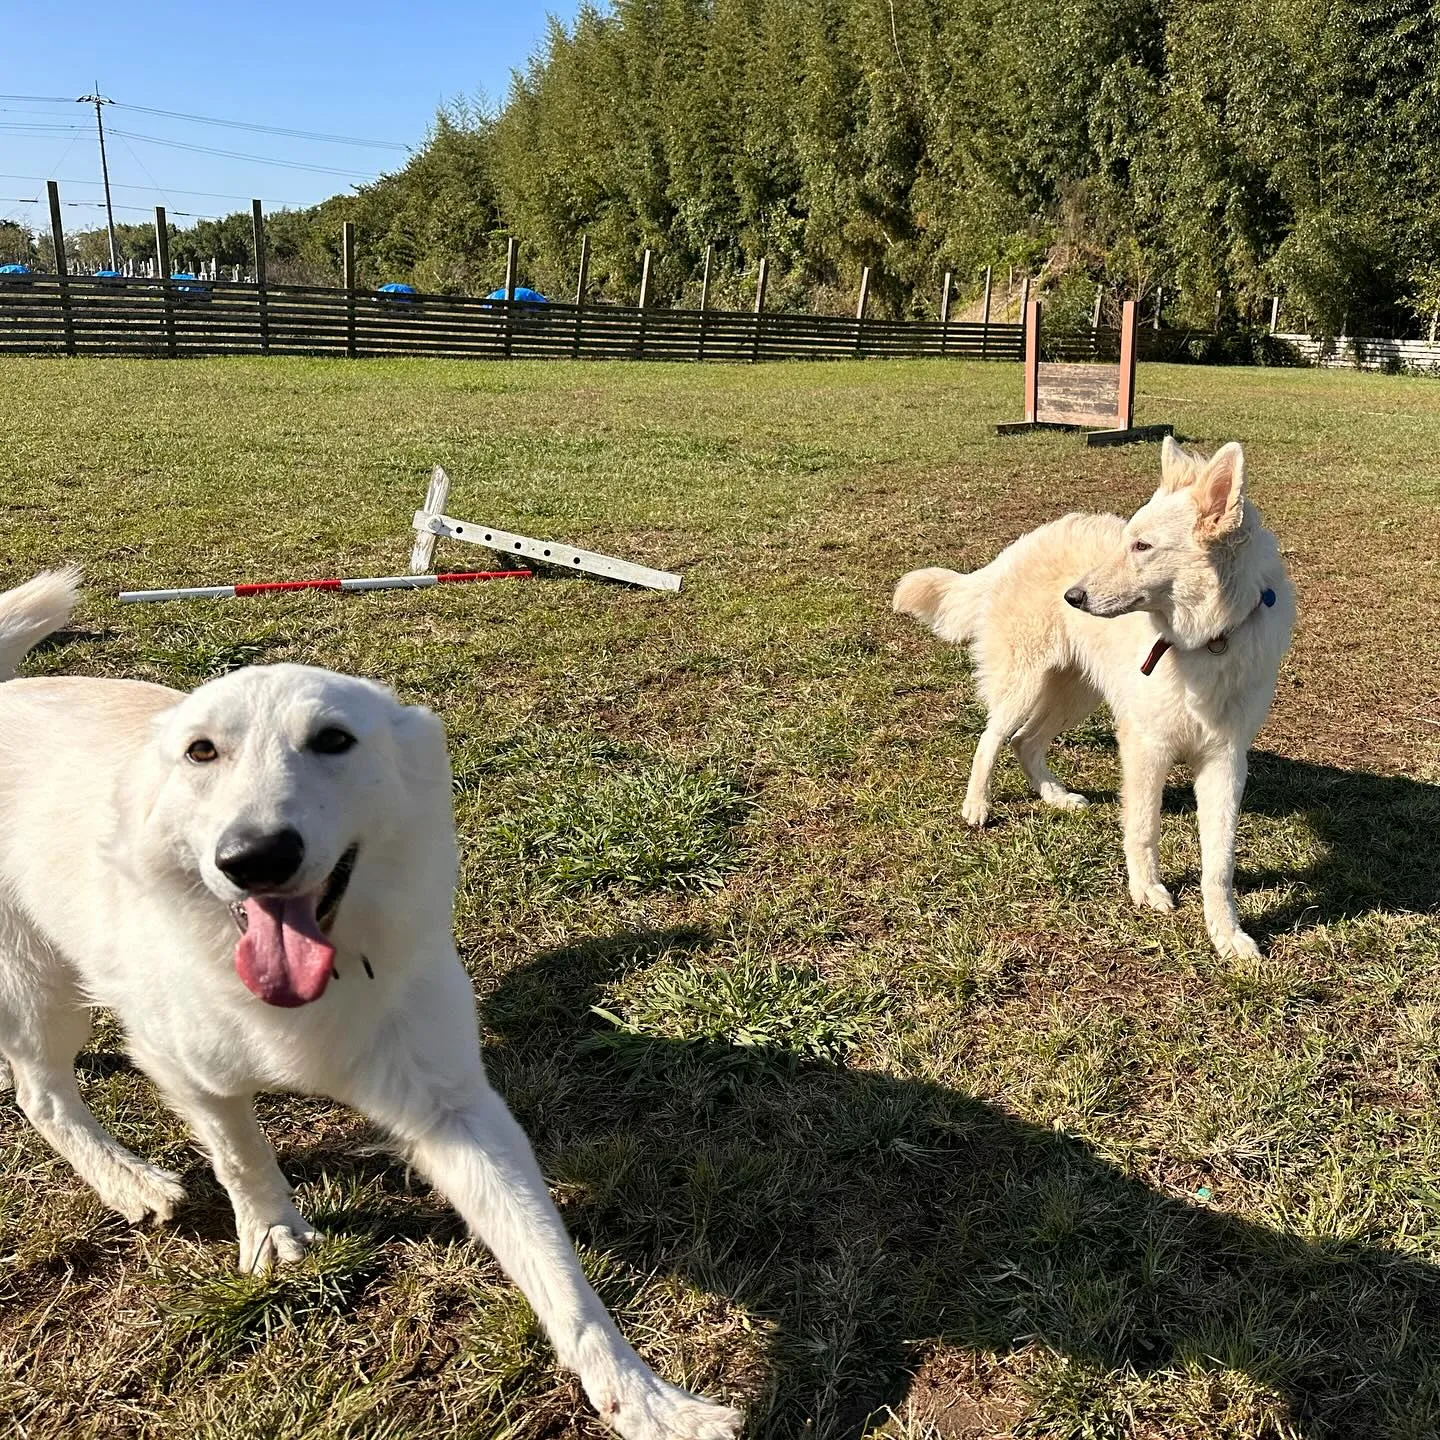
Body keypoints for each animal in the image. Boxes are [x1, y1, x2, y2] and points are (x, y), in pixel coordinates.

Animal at [0, 570, 743, 1440]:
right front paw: (274, 1234)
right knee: (42, 1093)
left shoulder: (457, 1115)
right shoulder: (188, 1073)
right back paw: (129, 1182)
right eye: (201, 752)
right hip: (41, 989)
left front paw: (646, 1400)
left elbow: (560, 1277)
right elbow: (241, 1155)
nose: (254, 858)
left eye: (332, 741)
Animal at [892, 437, 1301, 956]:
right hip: (1025, 686)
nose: (1073, 597)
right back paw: (977, 806)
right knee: (991, 738)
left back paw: (1054, 796)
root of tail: (1021, 545)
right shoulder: (1146, 748)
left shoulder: (1224, 762)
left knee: (1026, 742)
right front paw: (1146, 890)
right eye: (1129, 540)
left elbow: (1219, 863)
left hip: (1075, 695)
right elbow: (1144, 828)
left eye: (1142, 546)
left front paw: (1227, 934)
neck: (1208, 640)